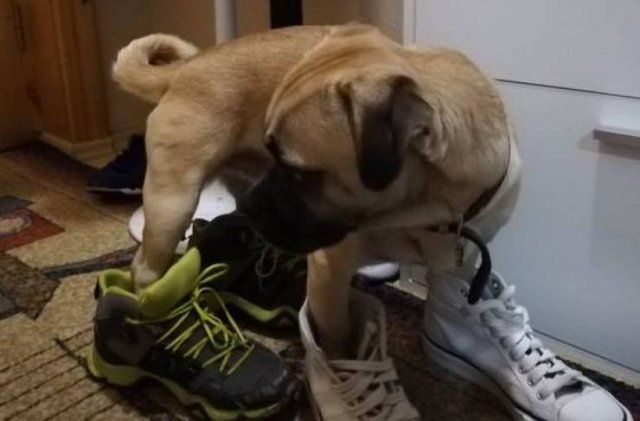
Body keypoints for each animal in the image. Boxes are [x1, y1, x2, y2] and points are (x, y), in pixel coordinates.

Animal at [115, 24, 521, 355]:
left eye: (297, 171)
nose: (254, 202)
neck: (426, 216)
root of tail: (186, 69)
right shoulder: (330, 273)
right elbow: (337, 340)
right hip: (173, 205)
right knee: (146, 268)